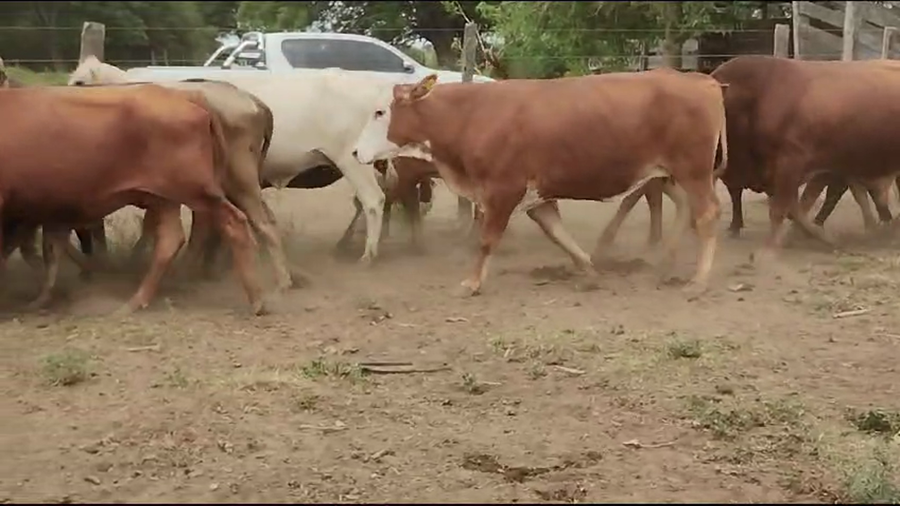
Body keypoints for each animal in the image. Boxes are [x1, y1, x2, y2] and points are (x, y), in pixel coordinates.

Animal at [0, 83, 265, 314]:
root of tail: (186, 97)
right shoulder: (53, 210)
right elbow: (50, 251)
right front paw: (41, 299)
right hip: (165, 197)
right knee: (170, 240)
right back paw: (136, 301)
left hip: (195, 190)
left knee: (234, 222)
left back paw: (257, 300)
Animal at [351, 70, 727, 297]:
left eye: (380, 112)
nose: (355, 151)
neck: (471, 115)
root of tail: (699, 80)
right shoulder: (537, 196)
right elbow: (558, 233)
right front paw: (589, 268)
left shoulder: (504, 190)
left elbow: (487, 240)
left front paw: (472, 282)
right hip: (670, 172)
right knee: (686, 207)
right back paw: (667, 260)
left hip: (693, 171)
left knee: (707, 214)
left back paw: (700, 279)